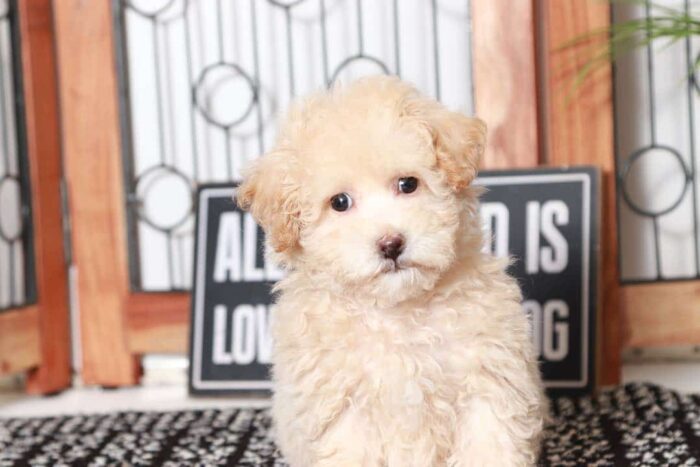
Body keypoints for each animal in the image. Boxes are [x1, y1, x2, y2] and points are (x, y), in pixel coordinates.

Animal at [238, 77, 548, 467]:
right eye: (340, 202)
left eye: (408, 184)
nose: (391, 244)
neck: (398, 309)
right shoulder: (342, 402)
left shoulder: (487, 375)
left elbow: (488, 443)